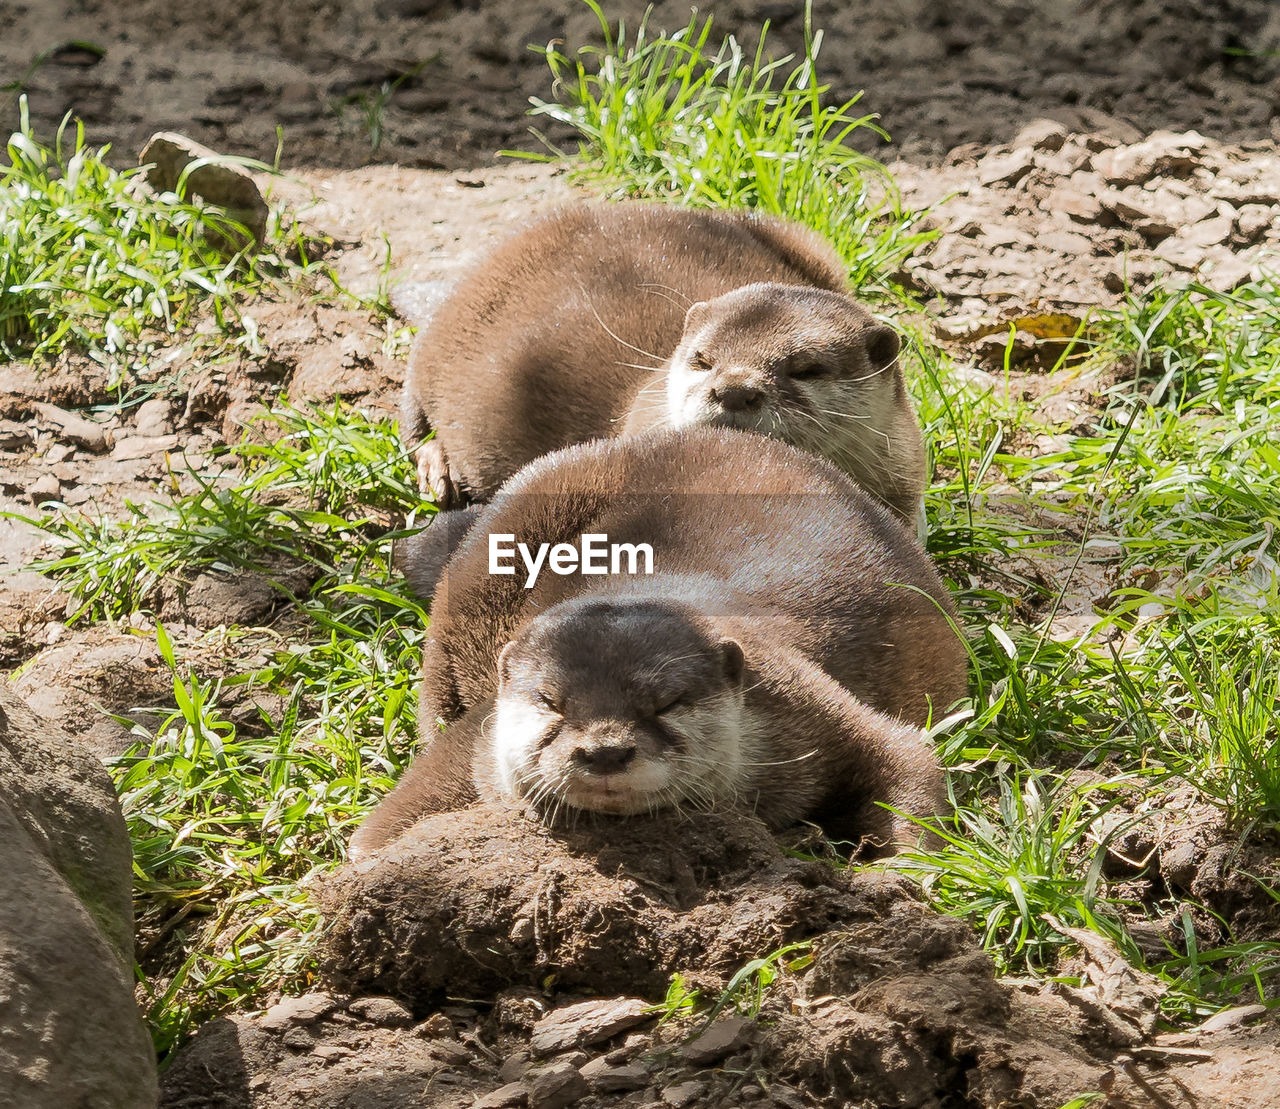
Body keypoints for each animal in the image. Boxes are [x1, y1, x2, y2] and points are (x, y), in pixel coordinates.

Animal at [345, 427, 962, 860]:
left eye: (666, 703)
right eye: (551, 702)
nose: (604, 750)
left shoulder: (808, 700)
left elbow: (904, 756)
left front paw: (899, 878)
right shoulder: (476, 739)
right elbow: (380, 832)